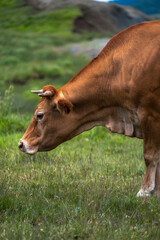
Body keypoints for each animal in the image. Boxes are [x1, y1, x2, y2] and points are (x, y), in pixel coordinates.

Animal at [19, 20, 160, 197]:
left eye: (39, 115)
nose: (21, 143)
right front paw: (156, 192)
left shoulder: (149, 113)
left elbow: (150, 155)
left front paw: (145, 191)